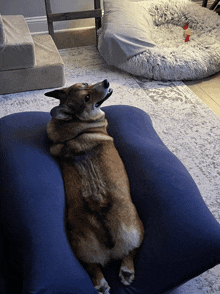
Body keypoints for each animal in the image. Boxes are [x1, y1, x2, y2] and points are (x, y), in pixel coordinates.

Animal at [45, 79, 144, 292]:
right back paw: (125, 273)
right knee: (131, 252)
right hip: (138, 227)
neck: (78, 128)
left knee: (92, 266)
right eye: (87, 98)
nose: (106, 81)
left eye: (85, 84)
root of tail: (103, 225)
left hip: (80, 247)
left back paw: (102, 284)